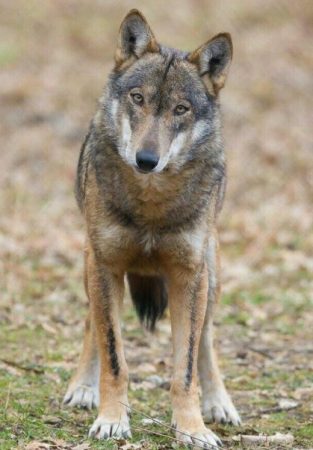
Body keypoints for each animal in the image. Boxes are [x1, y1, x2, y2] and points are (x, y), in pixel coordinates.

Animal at [62, 8, 239, 448]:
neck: (151, 203)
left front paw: (193, 427)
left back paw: (220, 403)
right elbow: (114, 356)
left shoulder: (189, 276)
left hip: (211, 275)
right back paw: (83, 388)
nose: (146, 159)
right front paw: (111, 420)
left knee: (206, 339)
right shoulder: (106, 266)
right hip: (91, 266)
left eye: (181, 109)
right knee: (92, 324)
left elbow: (186, 367)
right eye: (138, 98)